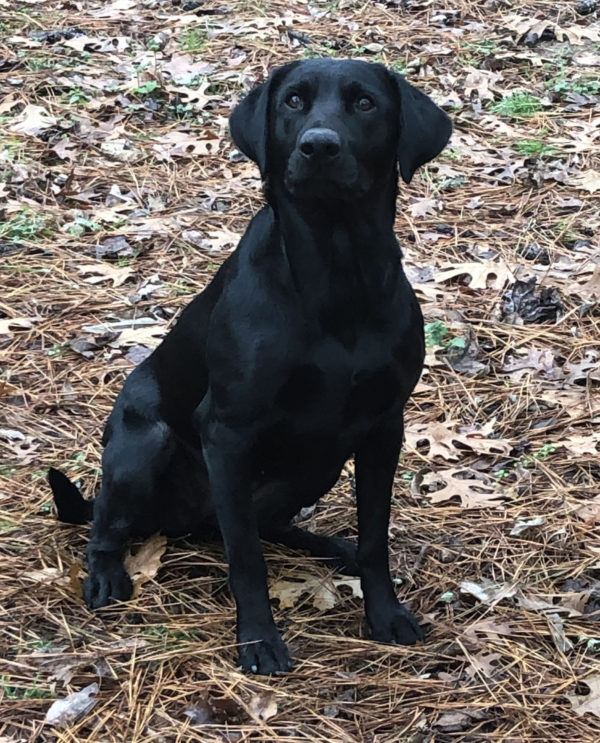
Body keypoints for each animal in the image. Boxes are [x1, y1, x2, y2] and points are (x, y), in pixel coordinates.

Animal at [50, 58, 450, 676]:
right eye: (293, 101)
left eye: (364, 103)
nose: (318, 146)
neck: (336, 272)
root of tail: (181, 520)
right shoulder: (227, 433)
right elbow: (245, 560)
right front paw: (259, 640)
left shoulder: (384, 428)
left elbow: (374, 538)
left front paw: (384, 615)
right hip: (145, 444)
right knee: (111, 524)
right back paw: (106, 576)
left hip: (315, 468)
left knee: (261, 527)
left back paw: (329, 547)